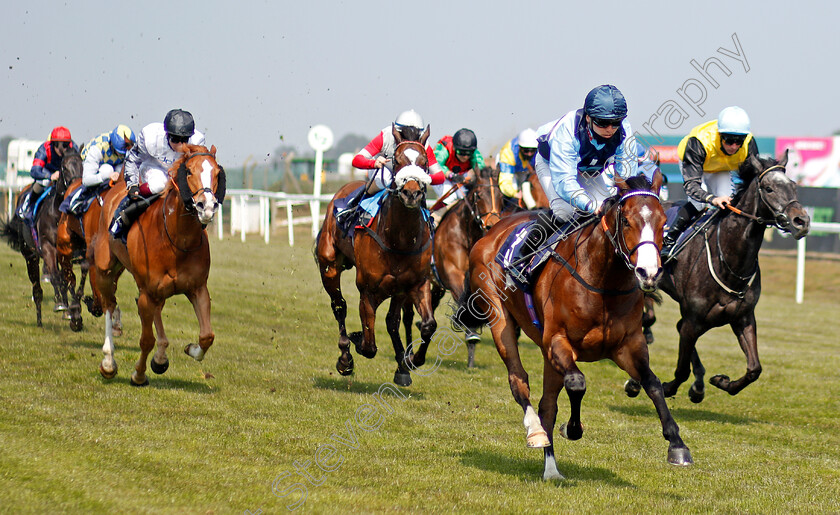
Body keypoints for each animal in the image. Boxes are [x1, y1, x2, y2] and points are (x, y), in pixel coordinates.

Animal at [0, 147, 83, 328]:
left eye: (83, 165)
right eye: (64, 167)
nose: (76, 188)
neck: (58, 215)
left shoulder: (67, 252)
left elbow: (68, 279)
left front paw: (73, 312)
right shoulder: (47, 247)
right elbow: (56, 277)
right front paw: (61, 305)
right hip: (31, 255)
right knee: (38, 287)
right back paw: (41, 318)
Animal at [90, 145, 225, 388]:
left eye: (217, 173)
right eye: (188, 171)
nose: (207, 206)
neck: (177, 239)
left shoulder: (198, 288)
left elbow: (207, 336)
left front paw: (191, 349)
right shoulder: (147, 292)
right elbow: (146, 339)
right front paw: (138, 374)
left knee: (156, 311)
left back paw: (161, 357)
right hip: (106, 269)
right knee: (108, 305)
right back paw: (108, 362)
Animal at [430, 166, 502, 366]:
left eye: (500, 196)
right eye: (479, 196)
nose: (492, 225)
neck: (466, 234)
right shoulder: (453, 273)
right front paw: (470, 332)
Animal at [456, 172, 692, 480]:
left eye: (663, 221)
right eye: (627, 221)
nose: (648, 272)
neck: (602, 282)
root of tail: (492, 231)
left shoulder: (628, 344)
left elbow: (652, 384)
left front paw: (677, 444)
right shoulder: (558, 340)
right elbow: (577, 383)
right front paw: (571, 429)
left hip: (547, 353)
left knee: (547, 405)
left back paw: (551, 469)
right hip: (500, 318)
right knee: (519, 380)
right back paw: (535, 431)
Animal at [628, 151, 812, 406]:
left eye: (793, 186)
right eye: (768, 188)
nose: (801, 221)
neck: (730, 259)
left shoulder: (742, 317)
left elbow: (754, 369)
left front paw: (721, 381)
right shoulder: (694, 319)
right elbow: (681, 369)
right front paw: (665, 387)